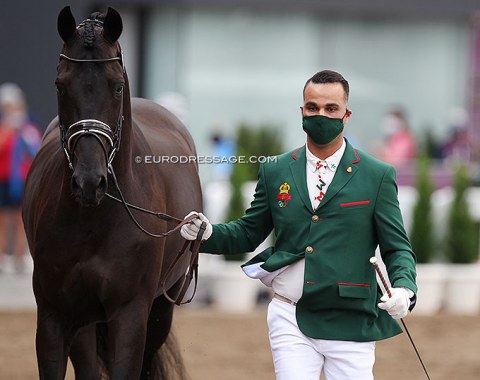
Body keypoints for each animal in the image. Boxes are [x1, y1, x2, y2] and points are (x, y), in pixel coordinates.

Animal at [22, 6, 202, 380]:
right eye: (61, 85)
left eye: (117, 86)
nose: (89, 182)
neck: (94, 221)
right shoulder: (54, 317)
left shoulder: (130, 315)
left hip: (161, 309)